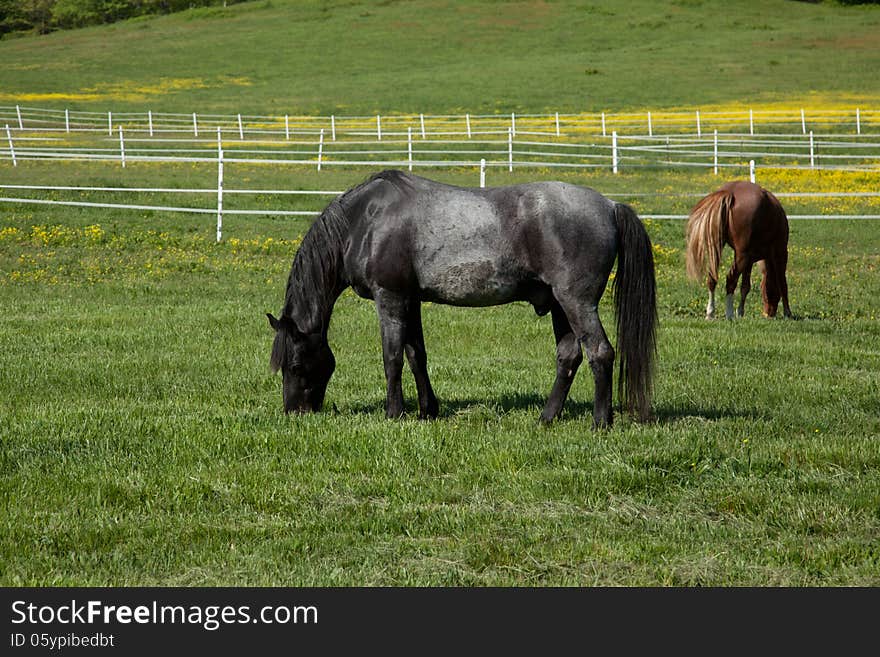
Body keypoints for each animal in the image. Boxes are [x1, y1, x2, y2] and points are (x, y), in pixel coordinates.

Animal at [264, 169, 656, 428]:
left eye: (295, 365)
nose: (294, 412)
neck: (365, 220)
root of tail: (610, 205)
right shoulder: (411, 301)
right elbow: (416, 355)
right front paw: (427, 410)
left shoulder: (390, 298)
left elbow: (392, 357)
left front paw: (394, 413)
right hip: (560, 304)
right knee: (569, 356)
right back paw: (546, 417)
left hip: (576, 301)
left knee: (600, 352)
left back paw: (600, 422)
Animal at [684, 181, 796, 320]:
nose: (769, 314)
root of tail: (729, 192)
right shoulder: (780, 253)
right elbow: (782, 283)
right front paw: (788, 313)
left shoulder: (750, 261)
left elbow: (745, 287)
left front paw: (741, 311)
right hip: (742, 256)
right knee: (730, 280)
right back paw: (729, 314)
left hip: (719, 251)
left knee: (712, 279)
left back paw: (710, 313)